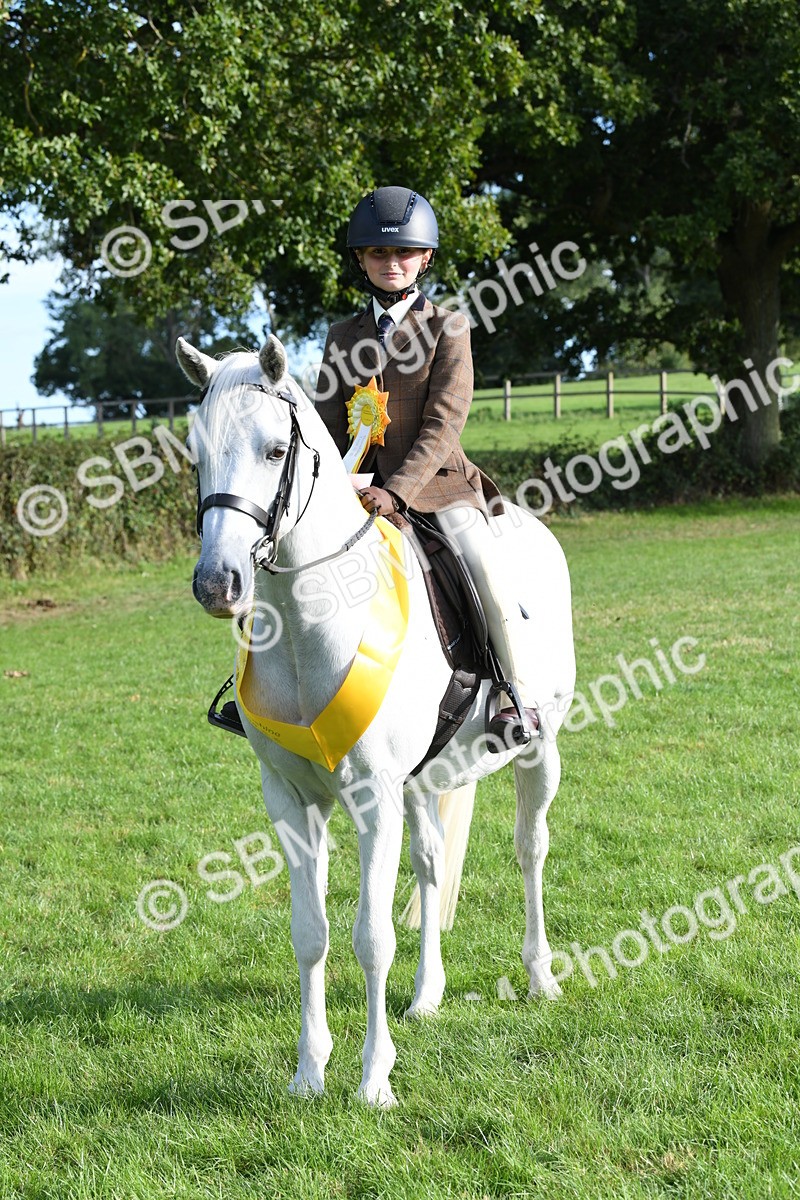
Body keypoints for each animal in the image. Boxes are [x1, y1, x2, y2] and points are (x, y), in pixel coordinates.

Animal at [177, 334, 576, 1108]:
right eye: (196, 451)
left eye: (275, 450)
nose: (217, 585)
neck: (311, 620)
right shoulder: (293, 801)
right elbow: (311, 934)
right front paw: (309, 1072)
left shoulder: (372, 799)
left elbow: (371, 937)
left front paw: (373, 1080)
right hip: (420, 782)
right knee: (429, 865)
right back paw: (426, 996)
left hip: (538, 750)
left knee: (531, 849)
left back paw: (541, 976)